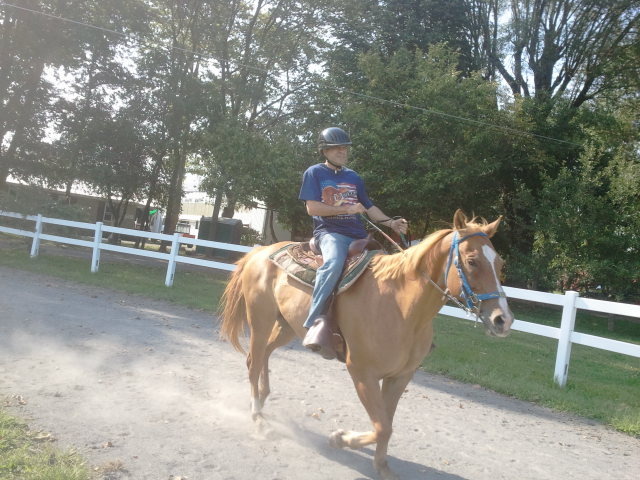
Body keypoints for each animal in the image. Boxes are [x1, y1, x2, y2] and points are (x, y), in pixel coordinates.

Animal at [220, 210, 516, 480]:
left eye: (500, 263)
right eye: (472, 261)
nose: (503, 320)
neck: (401, 306)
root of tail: (259, 252)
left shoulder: (399, 377)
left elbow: (386, 423)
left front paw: (381, 465)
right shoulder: (362, 373)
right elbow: (383, 427)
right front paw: (340, 438)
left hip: (286, 327)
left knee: (264, 356)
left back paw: (263, 398)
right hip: (260, 320)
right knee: (253, 360)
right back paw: (258, 418)